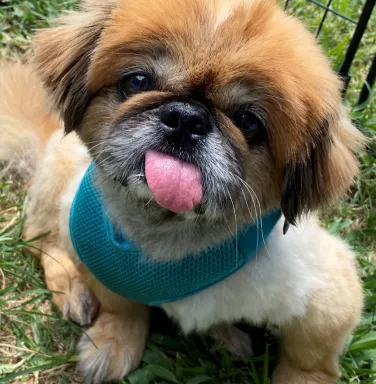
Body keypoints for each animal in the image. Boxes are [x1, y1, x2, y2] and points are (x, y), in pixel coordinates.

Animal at [0, 0, 366, 382]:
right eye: (137, 82)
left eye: (248, 122)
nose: (187, 118)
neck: (171, 232)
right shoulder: (92, 246)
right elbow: (120, 306)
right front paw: (115, 342)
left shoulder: (326, 293)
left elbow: (309, 359)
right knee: (42, 239)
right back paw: (74, 290)